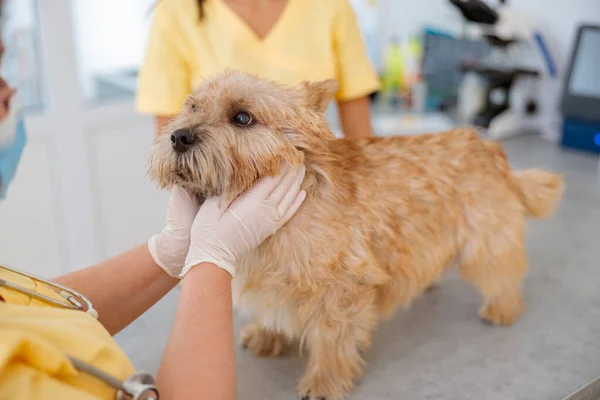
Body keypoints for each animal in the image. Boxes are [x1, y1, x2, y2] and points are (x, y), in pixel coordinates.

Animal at [148, 70, 564, 398]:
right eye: (192, 106)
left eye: (242, 117)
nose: (179, 136)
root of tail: (490, 148)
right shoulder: (269, 280)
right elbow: (270, 310)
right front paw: (267, 335)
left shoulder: (342, 288)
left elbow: (331, 340)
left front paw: (324, 383)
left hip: (487, 242)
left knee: (504, 273)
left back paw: (501, 309)